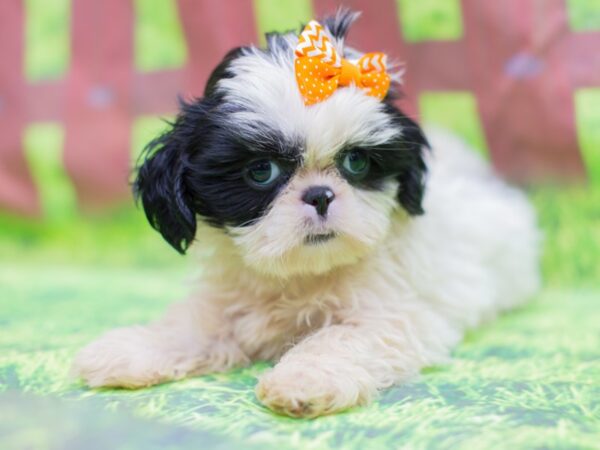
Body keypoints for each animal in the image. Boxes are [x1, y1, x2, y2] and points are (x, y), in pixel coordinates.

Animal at [72, 11, 540, 418]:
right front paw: (131, 348)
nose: (320, 196)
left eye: (356, 162)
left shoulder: (393, 313)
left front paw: (305, 380)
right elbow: (192, 324)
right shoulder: (229, 301)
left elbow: (341, 337)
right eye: (261, 171)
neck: (300, 275)